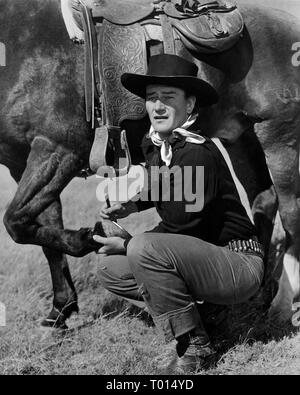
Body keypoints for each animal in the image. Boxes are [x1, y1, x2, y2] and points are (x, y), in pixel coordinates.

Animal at [63, 0, 300, 324]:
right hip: (242, 136)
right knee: (264, 201)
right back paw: (260, 294)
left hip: (280, 139)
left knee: (291, 214)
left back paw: (283, 303)